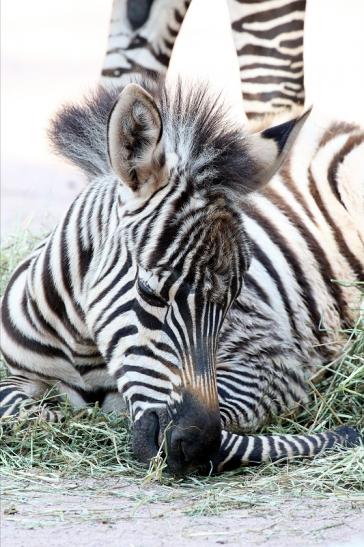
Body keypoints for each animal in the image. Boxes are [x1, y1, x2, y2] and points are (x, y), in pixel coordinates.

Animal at [0, 77, 362, 476]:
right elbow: (13, 405)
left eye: (233, 303)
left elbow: (227, 430)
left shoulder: (272, 362)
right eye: (150, 292)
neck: (80, 344)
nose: (195, 445)